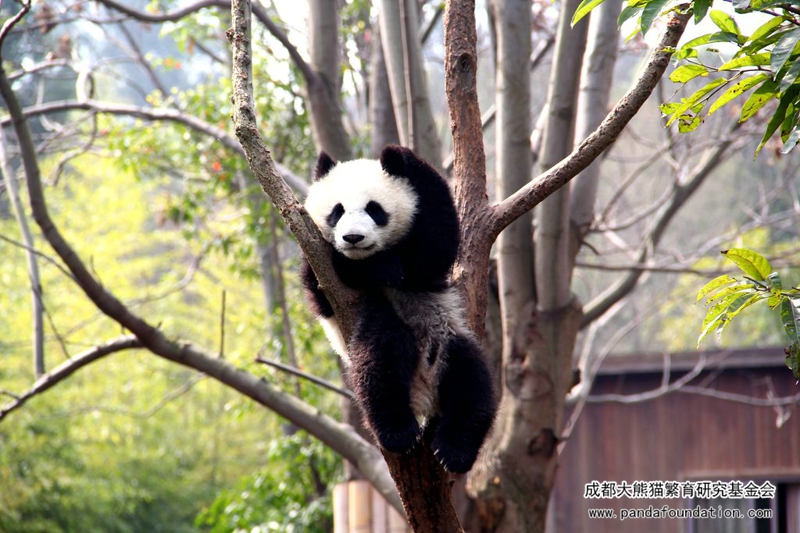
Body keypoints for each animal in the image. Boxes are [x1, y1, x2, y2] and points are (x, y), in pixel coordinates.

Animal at [301, 145, 497, 474]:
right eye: (337, 211)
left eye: (374, 209)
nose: (353, 238)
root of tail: (422, 393)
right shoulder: (316, 260)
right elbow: (330, 278)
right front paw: (380, 266)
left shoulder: (427, 275)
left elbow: (436, 247)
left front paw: (401, 154)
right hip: (375, 334)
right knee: (382, 361)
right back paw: (398, 432)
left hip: (447, 335)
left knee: (472, 382)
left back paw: (454, 451)